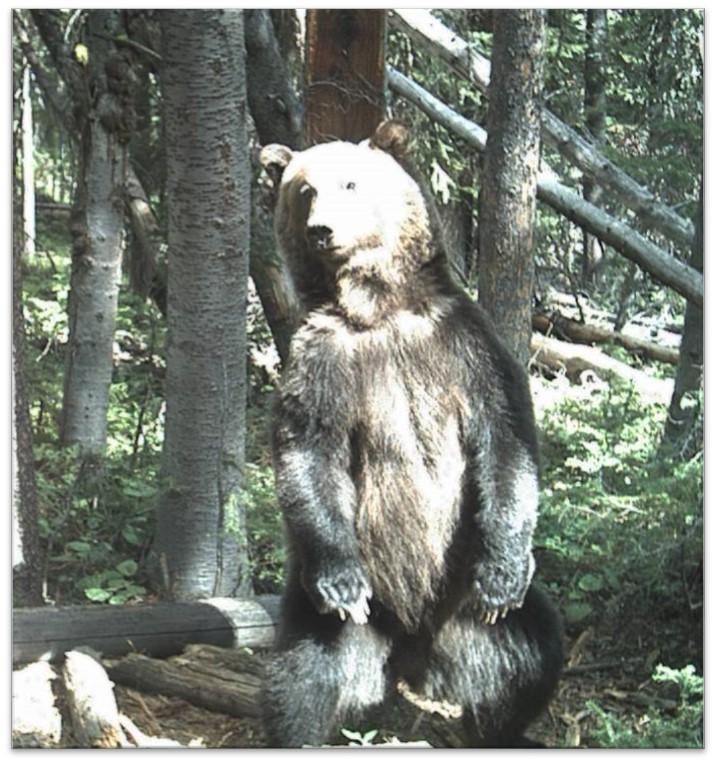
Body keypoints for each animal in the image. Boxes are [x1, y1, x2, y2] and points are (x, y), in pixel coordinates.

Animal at [258, 120, 563, 748]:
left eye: (350, 182)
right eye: (305, 190)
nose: (323, 229)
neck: (379, 307)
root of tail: (413, 652)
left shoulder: (463, 346)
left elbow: (505, 441)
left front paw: (503, 572)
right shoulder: (323, 360)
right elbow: (310, 454)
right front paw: (341, 581)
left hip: (466, 604)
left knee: (532, 650)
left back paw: (509, 726)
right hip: (331, 612)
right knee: (302, 673)